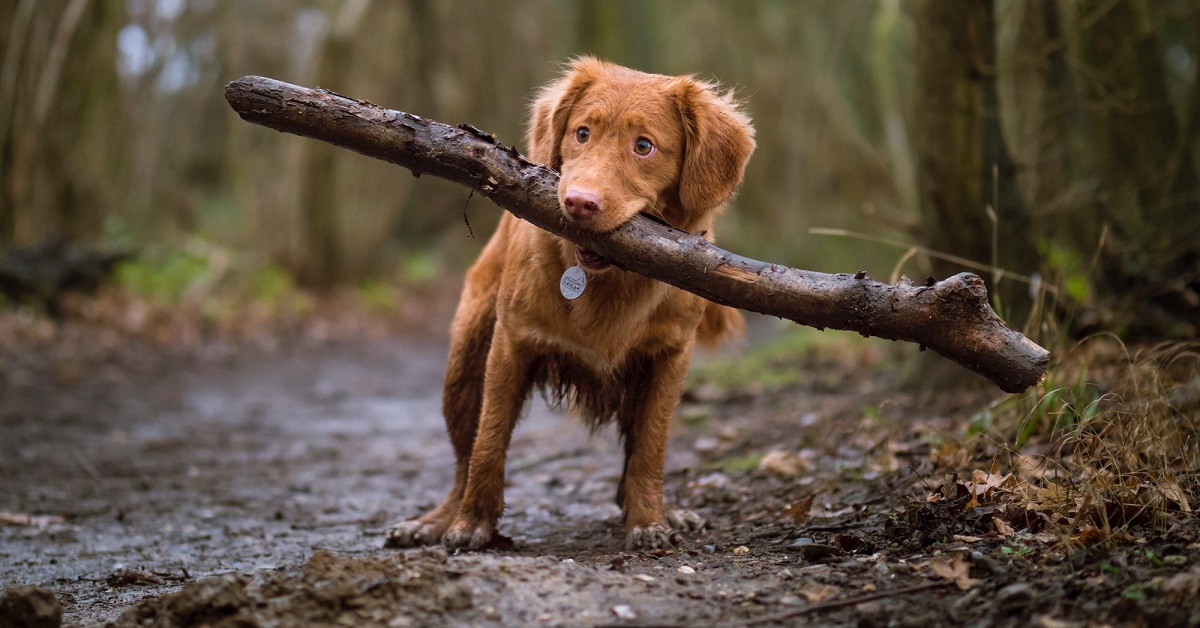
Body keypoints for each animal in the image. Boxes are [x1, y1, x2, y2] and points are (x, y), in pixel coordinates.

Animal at [388, 57, 753, 549]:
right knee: (464, 456)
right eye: (582, 133)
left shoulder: (669, 357)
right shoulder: (511, 343)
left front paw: (649, 520)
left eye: (644, 146)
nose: (579, 203)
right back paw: (437, 520)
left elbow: (650, 446)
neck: (609, 281)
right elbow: (489, 441)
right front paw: (472, 523)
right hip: (464, 363)